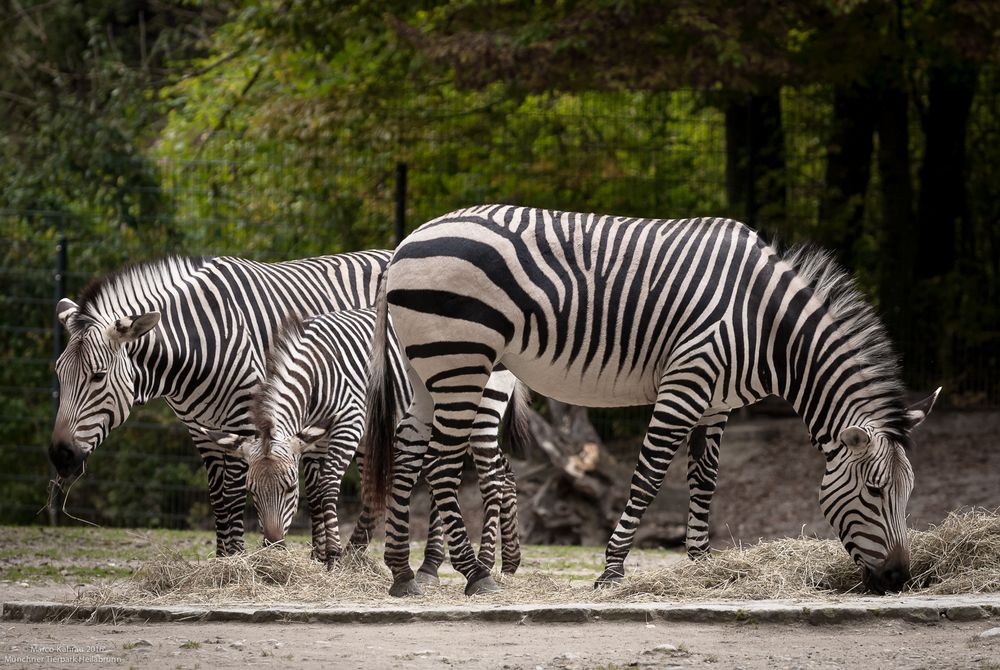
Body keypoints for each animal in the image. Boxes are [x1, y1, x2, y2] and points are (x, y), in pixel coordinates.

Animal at [51, 249, 390, 560]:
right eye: (58, 373)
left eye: (98, 376)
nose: (60, 456)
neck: (195, 348)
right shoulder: (200, 429)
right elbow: (217, 497)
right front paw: (222, 559)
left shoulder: (246, 420)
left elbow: (234, 492)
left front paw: (237, 558)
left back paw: (353, 556)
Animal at [203, 310, 524, 588]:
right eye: (252, 491)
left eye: (290, 488)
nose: (273, 545)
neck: (317, 372)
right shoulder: (317, 439)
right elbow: (322, 492)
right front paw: (326, 555)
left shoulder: (350, 423)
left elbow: (328, 485)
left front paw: (333, 556)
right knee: (501, 473)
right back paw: (506, 563)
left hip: (480, 407)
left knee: (491, 477)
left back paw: (484, 562)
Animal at [364, 202, 940, 596]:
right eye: (874, 492)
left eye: (908, 493)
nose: (899, 578)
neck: (765, 325)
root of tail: (407, 241)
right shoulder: (686, 384)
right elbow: (649, 475)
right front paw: (612, 569)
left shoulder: (717, 403)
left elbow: (704, 481)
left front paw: (703, 565)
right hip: (460, 358)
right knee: (441, 461)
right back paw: (475, 573)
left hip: (426, 366)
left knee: (409, 448)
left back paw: (402, 574)